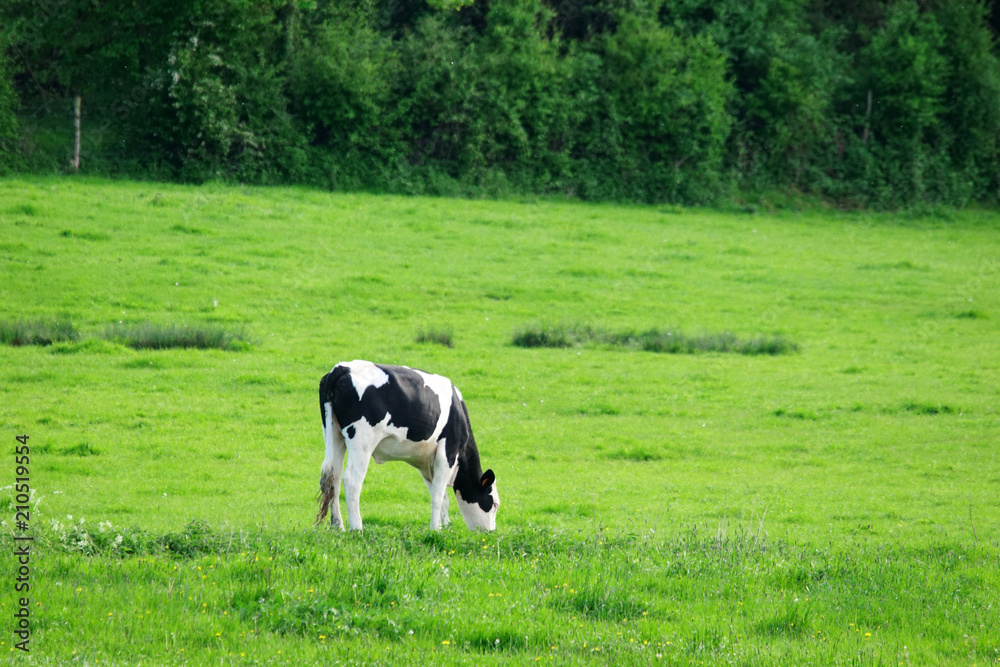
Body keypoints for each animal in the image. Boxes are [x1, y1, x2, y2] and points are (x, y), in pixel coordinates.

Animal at [314, 360, 498, 532]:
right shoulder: (447, 452)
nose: (491, 532)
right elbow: (438, 496)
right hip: (362, 441)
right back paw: (357, 528)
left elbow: (441, 496)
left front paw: (443, 527)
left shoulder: (428, 463)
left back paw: (338, 526)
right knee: (351, 479)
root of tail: (342, 368)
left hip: (335, 435)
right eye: (494, 504)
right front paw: (435, 529)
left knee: (333, 477)